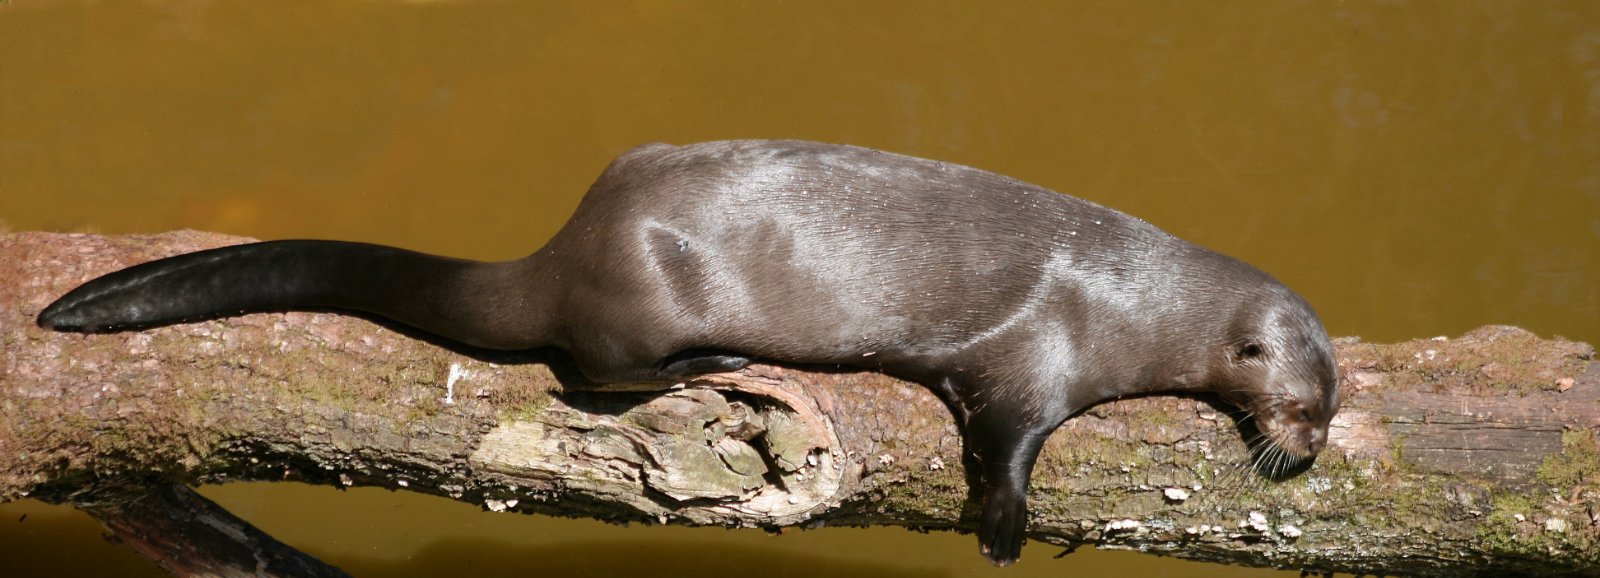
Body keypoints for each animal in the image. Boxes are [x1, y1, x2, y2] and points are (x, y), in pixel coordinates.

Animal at [36, 140, 1340, 565]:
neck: (1133, 293)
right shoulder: (1037, 352)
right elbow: (1009, 434)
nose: (1313, 448)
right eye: (1305, 401)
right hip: (638, 308)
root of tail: (567, 248)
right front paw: (1007, 527)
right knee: (584, 370)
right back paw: (704, 371)